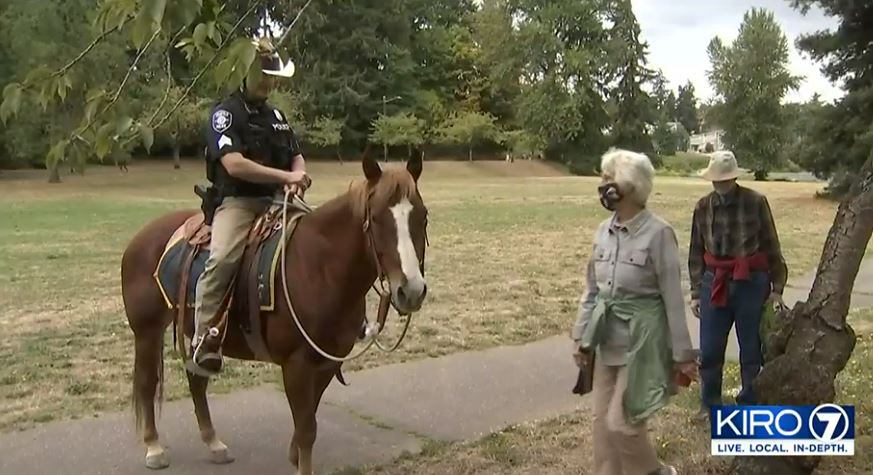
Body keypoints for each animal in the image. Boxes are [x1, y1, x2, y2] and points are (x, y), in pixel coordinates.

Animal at [122, 154, 430, 474]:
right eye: (377, 219)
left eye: (423, 217)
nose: (411, 290)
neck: (319, 266)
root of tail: (142, 237)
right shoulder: (296, 364)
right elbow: (307, 429)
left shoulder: (327, 362)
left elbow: (309, 419)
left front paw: (294, 455)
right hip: (146, 332)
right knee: (147, 383)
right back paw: (154, 447)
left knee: (196, 379)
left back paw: (213, 443)